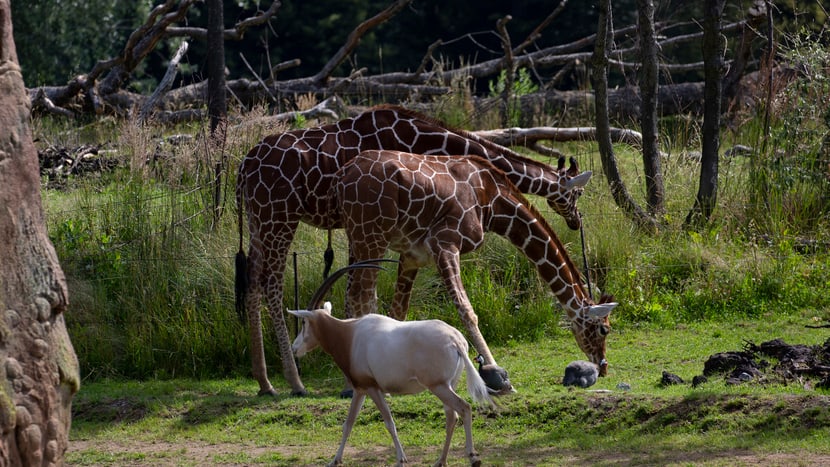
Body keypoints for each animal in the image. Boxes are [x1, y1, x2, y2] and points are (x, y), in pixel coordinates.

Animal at [332, 152, 616, 382]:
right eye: (604, 329)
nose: (603, 367)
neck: (492, 202)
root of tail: (343, 176)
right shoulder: (444, 243)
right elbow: (467, 311)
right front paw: (493, 367)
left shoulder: (414, 255)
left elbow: (398, 312)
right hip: (371, 238)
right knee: (361, 298)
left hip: (357, 239)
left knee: (353, 297)